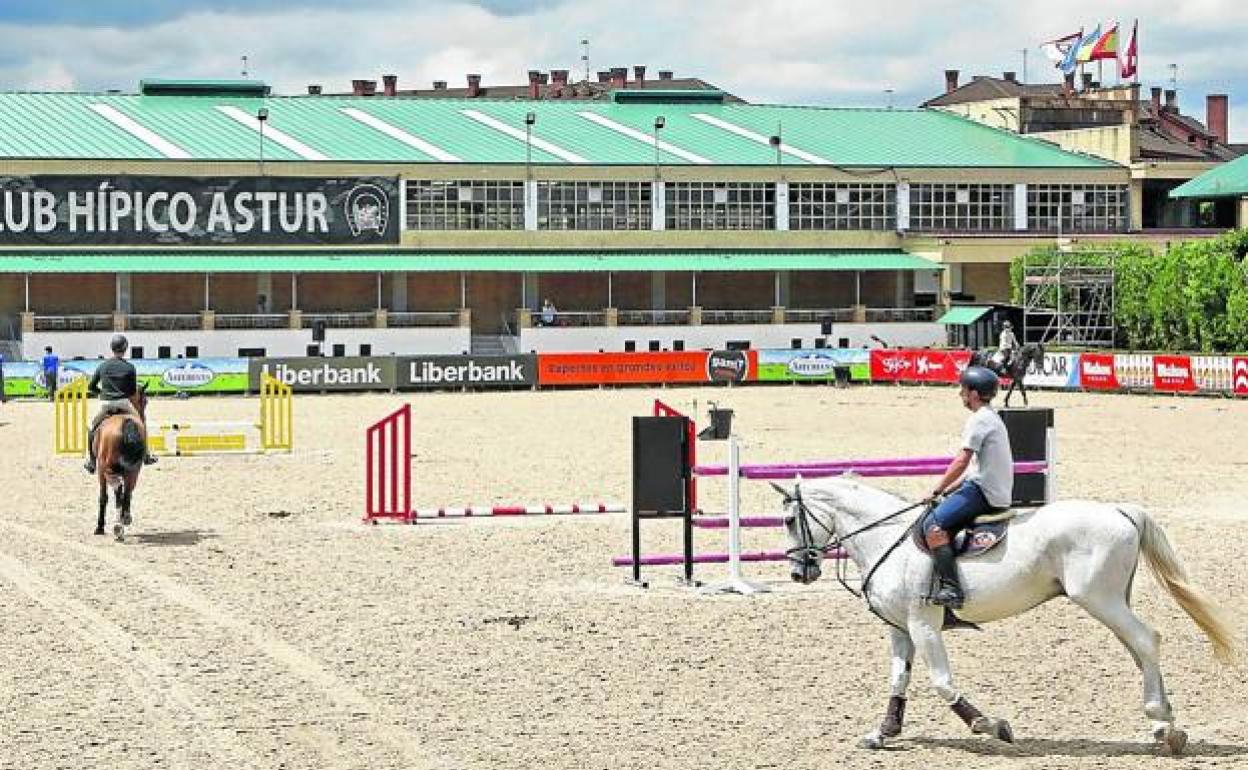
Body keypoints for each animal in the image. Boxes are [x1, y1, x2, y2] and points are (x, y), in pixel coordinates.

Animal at [93, 384, 147, 541]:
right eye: (145, 402)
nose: (143, 418)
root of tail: (126, 423)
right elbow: (126, 494)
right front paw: (124, 517)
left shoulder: (101, 471)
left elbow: (103, 497)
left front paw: (100, 527)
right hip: (133, 471)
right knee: (127, 492)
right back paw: (123, 521)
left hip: (106, 469)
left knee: (118, 490)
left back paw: (118, 526)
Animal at [778, 476, 1238, 753]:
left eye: (787, 519)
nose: (800, 572)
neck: (886, 539)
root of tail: (1116, 510)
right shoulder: (900, 629)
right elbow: (898, 682)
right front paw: (882, 732)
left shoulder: (924, 625)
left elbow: (942, 683)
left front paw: (990, 725)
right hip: (1110, 601)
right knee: (1139, 650)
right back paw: (1165, 725)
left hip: (1099, 599)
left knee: (1146, 641)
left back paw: (1162, 723)